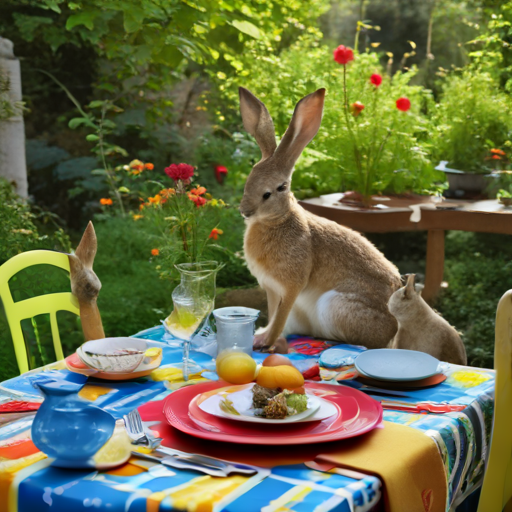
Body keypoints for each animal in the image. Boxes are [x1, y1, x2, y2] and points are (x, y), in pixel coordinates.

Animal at [238, 88, 402, 354]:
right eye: (248, 180)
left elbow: (279, 316)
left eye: (279, 188)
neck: (278, 219)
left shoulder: (291, 286)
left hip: (335, 306)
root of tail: (393, 330)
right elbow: (273, 314)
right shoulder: (270, 288)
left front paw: (266, 342)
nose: (246, 211)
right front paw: (263, 338)